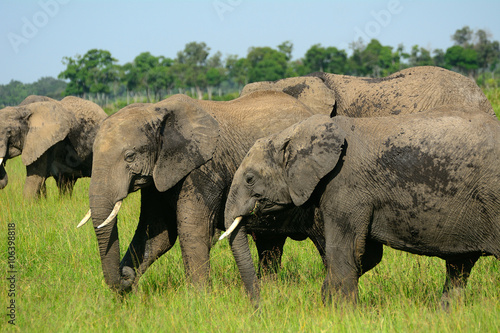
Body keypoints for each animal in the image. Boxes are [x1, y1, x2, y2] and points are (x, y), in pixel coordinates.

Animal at [78, 89, 326, 292]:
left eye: (130, 156)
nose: (125, 276)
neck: (157, 109)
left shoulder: (204, 167)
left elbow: (193, 229)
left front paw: (199, 298)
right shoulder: (161, 176)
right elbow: (157, 233)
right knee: (269, 243)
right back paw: (270, 287)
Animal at [225, 109, 500, 306]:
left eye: (249, 179)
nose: (260, 307)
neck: (294, 132)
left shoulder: (346, 185)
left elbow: (345, 251)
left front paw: (341, 314)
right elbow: (367, 255)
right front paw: (327, 303)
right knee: (459, 268)